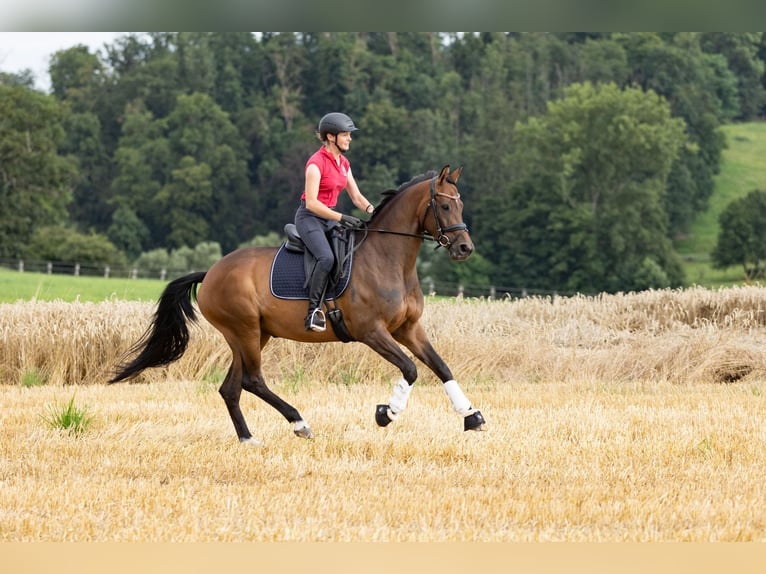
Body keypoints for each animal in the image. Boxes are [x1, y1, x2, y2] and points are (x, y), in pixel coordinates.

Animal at [109, 165, 486, 446]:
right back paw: (300, 423)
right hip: (244, 330)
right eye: (445, 206)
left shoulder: (409, 328)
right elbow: (410, 369)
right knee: (253, 381)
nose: (465, 248)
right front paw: (386, 413)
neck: (389, 259)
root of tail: (212, 271)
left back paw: (248, 438)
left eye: (461, 204)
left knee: (231, 387)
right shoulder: (372, 332)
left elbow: (441, 367)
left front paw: (472, 416)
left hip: (252, 335)